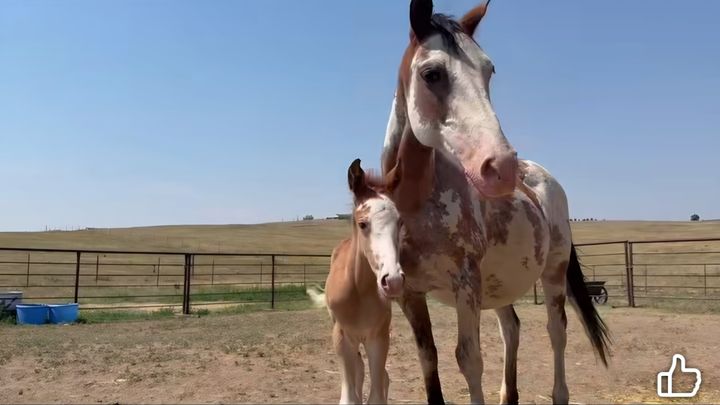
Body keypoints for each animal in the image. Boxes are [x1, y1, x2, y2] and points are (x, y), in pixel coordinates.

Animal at [308, 159, 405, 405]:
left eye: (400, 222)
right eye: (362, 224)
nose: (393, 280)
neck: (359, 291)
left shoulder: (379, 337)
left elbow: (378, 392)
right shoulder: (342, 337)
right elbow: (350, 396)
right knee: (359, 370)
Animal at [376, 1, 611, 404]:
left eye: (490, 70)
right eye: (432, 73)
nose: (501, 166)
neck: (415, 205)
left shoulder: (466, 283)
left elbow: (469, 359)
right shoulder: (409, 294)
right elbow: (428, 358)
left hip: (553, 273)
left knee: (557, 332)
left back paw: (559, 392)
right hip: (501, 282)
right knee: (511, 329)